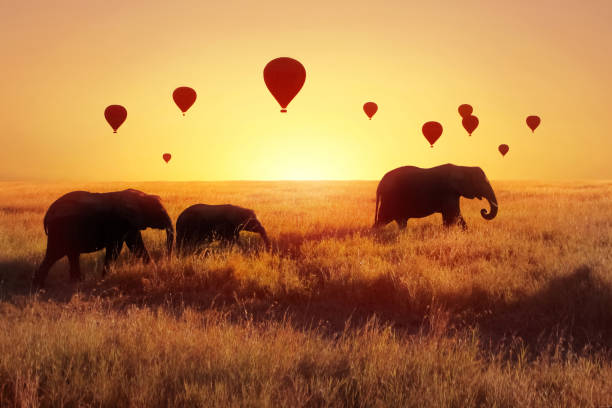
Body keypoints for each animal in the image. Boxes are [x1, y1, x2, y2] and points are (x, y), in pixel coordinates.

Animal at [33, 188, 173, 286]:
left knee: (71, 254)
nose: (167, 262)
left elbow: (137, 246)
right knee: (54, 254)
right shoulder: (119, 223)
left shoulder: (130, 224)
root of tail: (48, 213)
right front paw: (104, 279)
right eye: (160, 211)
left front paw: (154, 270)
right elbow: (115, 249)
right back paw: (40, 287)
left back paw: (75, 283)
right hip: (60, 229)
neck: (141, 196)